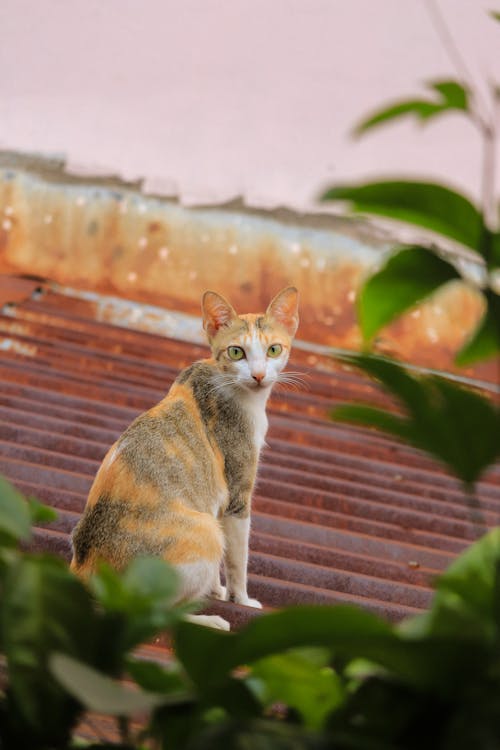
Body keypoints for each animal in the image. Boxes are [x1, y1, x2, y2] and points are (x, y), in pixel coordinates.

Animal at [69, 286, 296, 628]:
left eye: (273, 350)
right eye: (236, 353)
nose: (258, 375)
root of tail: (83, 572)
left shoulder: (217, 502)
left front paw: (215, 591)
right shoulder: (237, 494)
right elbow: (237, 559)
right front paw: (241, 599)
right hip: (204, 533)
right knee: (156, 615)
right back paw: (210, 620)